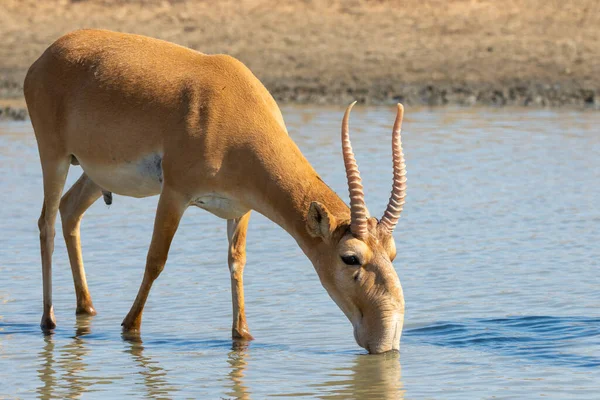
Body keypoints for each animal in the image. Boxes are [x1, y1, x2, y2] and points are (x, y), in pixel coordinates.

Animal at [24, 30, 408, 354]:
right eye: (350, 257)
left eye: (392, 253)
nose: (386, 338)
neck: (233, 106)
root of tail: (47, 55)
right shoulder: (174, 194)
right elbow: (156, 260)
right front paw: (130, 328)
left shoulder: (240, 208)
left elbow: (236, 261)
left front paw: (242, 336)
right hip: (54, 156)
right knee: (46, 223)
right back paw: (48, 320)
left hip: (92, 174)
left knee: (70, 210)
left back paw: (86, 308)